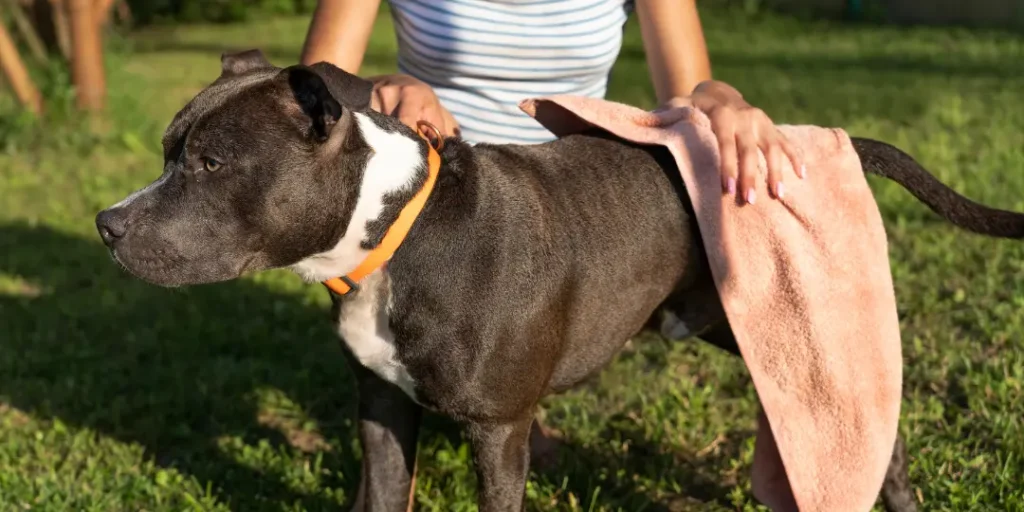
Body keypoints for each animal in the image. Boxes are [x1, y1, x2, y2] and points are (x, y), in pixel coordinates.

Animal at [96, 48, 1024, 512]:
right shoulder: (383, 410)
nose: (107, 224)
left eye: (212, 163)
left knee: (874, 438)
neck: (395, 234)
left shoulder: (499, 430)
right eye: (170, 152)